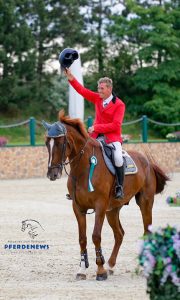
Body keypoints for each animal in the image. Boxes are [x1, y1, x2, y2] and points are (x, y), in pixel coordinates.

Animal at [43, 110, 169, 282]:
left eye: (61, 143)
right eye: (46, 143)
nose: (52, 174)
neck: (83, 167)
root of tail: (147, 161)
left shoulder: (100, 206)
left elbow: (96, 235)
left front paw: (100, 270)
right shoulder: (78, 207)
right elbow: (82, 238)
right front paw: (82, 269)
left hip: (145, 202)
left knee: (146, 232)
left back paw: (144, 267)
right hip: (112, 210)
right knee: (119, 234)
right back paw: (110, 265)